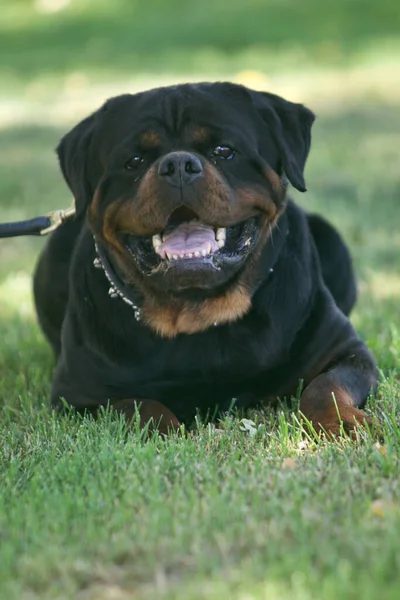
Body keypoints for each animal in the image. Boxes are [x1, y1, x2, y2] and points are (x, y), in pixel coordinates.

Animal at [33, 82, 378, 434]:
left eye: (224, 150)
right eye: (134, 161)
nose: (178, 165)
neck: (201, 313)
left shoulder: (345, 352)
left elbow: (325, 388)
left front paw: (344, 424)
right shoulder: (78, 396)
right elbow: (137, 406)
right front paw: (165, 431)